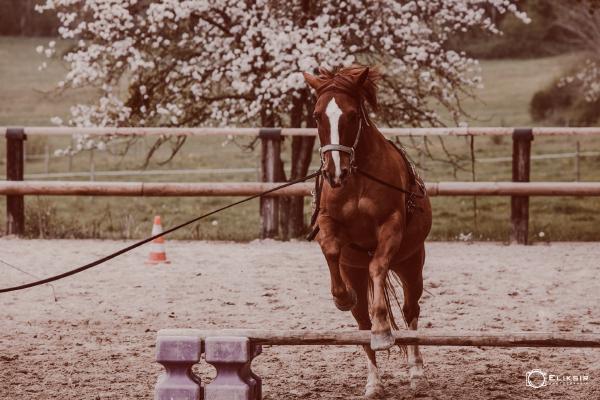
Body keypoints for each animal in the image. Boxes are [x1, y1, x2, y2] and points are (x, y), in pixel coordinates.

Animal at [303, 65, 432, 397]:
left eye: (351, 115)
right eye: (316, 115)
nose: (335, 172)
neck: (358, 178)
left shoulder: (391, 225)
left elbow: (378, 266)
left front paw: (384, 331)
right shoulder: (328, 222)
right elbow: (332, 250)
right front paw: (342, 297)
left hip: (411, 265)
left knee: (411, 312)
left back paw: (416, 372)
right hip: (355, 271)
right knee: (362, 324)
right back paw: (374, 383)